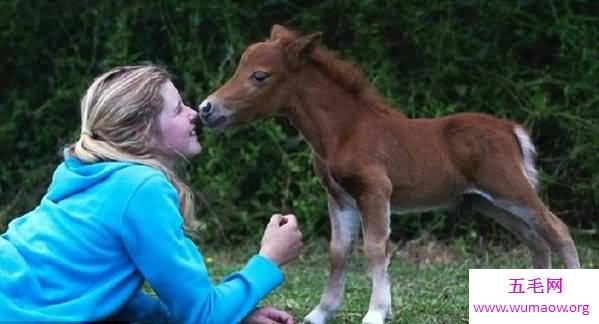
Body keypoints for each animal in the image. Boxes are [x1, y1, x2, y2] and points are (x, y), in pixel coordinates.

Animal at [198, 24, 580, 322]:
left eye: (260, 76)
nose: (206, 108)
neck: (344, 130)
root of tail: (510, 129)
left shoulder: (375, 190)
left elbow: (374, 248)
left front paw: (377, 312)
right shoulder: (340, 197)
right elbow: (338, 251)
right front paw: (321, 312)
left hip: (510, 189)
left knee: (557, 230)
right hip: (486, 201)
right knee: (535, 238)